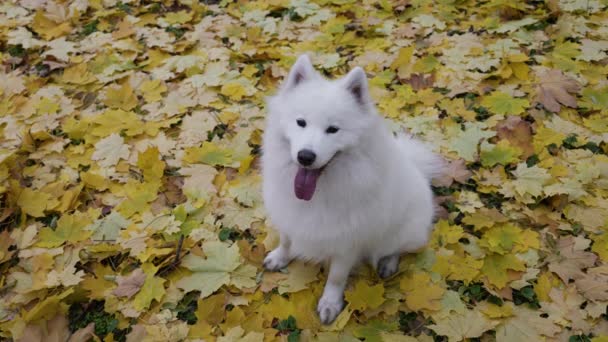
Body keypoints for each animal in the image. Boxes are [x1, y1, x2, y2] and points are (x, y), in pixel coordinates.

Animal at [262, 55, 442, 324]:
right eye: (300, 122)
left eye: (333, 129)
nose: (305, 156)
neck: (321, 191)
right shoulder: (288, 216)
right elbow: (285, 241)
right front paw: (280, 258)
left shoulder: (347, 241)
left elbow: (336, 277)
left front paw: (330, 303)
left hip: (403, 232)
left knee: (397, 248)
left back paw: (388, 262)